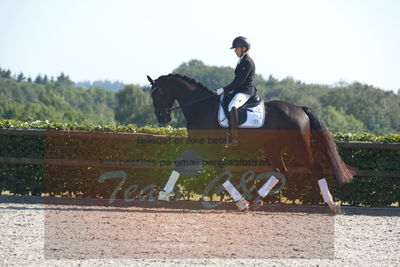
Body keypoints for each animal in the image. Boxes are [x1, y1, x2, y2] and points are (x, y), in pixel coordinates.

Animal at [148, 74, 356, 214]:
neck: (201, 107)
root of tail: (300, 109)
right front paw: (163, 195)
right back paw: (257, 199)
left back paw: (332, 204)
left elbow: (220, 173)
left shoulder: (209, 148)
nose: (162, 118)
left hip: (298, 146)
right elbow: (180, 164)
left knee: (315, 169)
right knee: (280, 170)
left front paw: (241, 202)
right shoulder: (200, 145)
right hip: (272, 147)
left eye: (159, 93)